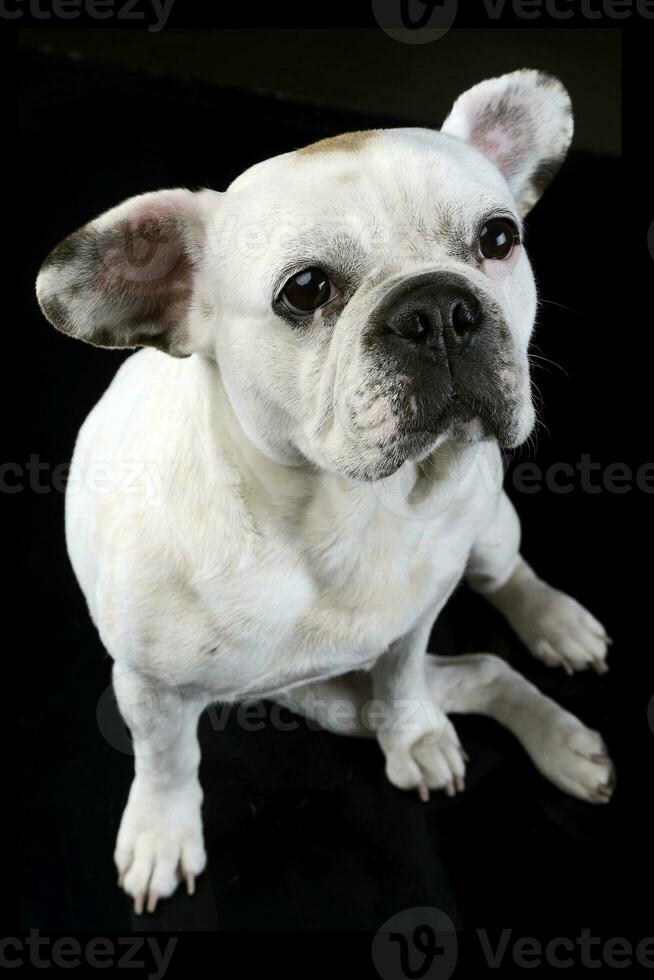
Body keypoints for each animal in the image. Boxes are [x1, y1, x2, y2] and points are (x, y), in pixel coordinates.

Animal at [38, 71, 616, 920]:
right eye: (306, 290)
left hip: (486, 530)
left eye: (498, 238)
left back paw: (552, 633)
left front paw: (415, 736)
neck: (345, 511)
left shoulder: (412, 623)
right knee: (477, 670)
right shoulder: (152, 691)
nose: (439, 307)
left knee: (500, 584)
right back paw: (556, 738)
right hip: (328, 703)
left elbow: (405, 679)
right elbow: (167, 761)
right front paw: (162, 833)